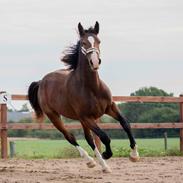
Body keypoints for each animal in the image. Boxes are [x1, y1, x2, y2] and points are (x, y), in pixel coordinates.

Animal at [27, 21, 139, 173]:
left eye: (99, 41)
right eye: (83, 43)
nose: (95, 62)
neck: (92, 88)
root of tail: (41, 81)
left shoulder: (110, 107)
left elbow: (125, 124)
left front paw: (134, 155)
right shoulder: (87, 117)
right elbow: (104, 136)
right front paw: (107, 154)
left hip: (81, 120)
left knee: (88, 139)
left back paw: (103, 166)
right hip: (54, 116)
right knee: (70, 136)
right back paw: (91, 161)